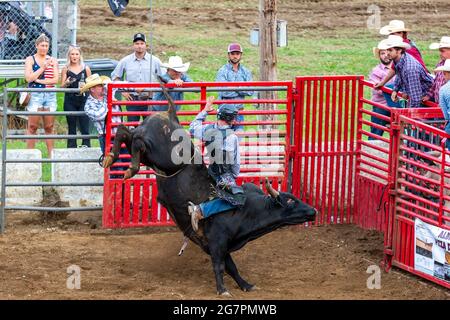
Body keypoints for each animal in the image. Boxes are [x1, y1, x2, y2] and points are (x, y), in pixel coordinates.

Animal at [103, 81, 318, 296]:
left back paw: (111, 158)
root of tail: (171, 115)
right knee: (137, 141)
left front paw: (246, 284)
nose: (313, 211)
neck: (248, 210)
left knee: (125, 132)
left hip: (150, 156)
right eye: (290, 201)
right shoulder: (218, 242)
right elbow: (220, 266)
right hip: (161, 154)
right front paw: (222, 289)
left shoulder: (222, 246)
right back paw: (130, 167)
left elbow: (232, 267)